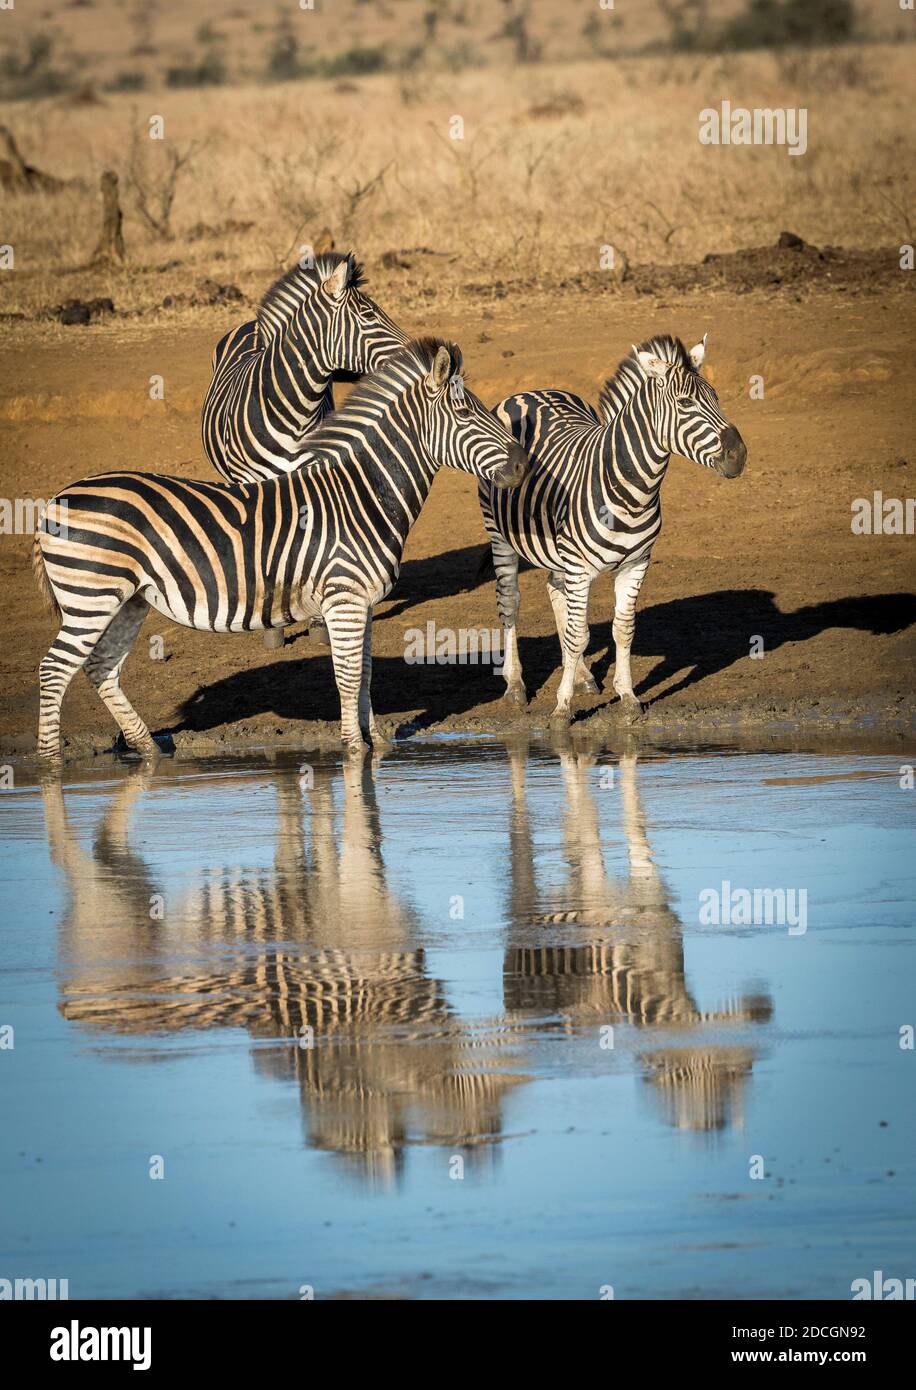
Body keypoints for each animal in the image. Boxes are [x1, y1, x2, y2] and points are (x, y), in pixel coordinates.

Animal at [34, 340, 530, 767]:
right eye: (465, 413)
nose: (524, 464)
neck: (361, 495)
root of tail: (54, 500)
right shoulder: (343, 600)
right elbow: (348, 678)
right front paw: (354, 750)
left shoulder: (360, 603)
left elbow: (366, 673)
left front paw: (377, 744)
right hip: (90, 596)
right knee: (54, 670)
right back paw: (50, 766)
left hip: (128, 599)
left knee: (101, 669)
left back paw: (149, 751)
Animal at [475, 334, 750, 722]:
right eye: (685, 403)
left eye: (716, 397)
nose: (739, 455)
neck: (632, 491)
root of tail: (529, 391)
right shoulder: (579, 568)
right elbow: (578, 634)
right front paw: (562, 708)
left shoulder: (636, 564)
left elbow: (623, 630)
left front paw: (628, 696)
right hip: (499, 533)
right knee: (510, 601)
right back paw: (515, 685)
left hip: (556, 551)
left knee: (555, 591)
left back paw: (583, 676)